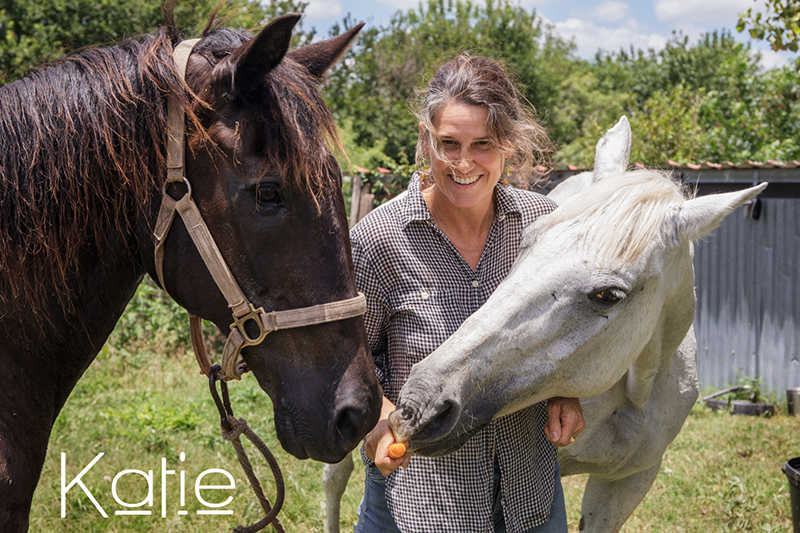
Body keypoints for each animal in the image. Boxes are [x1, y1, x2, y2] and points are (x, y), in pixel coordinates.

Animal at [324, 118, 768, 528]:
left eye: (608, 295)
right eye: (528, 239)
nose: (420, 404)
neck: (634, 393)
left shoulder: (627, 483)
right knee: (335, 478)